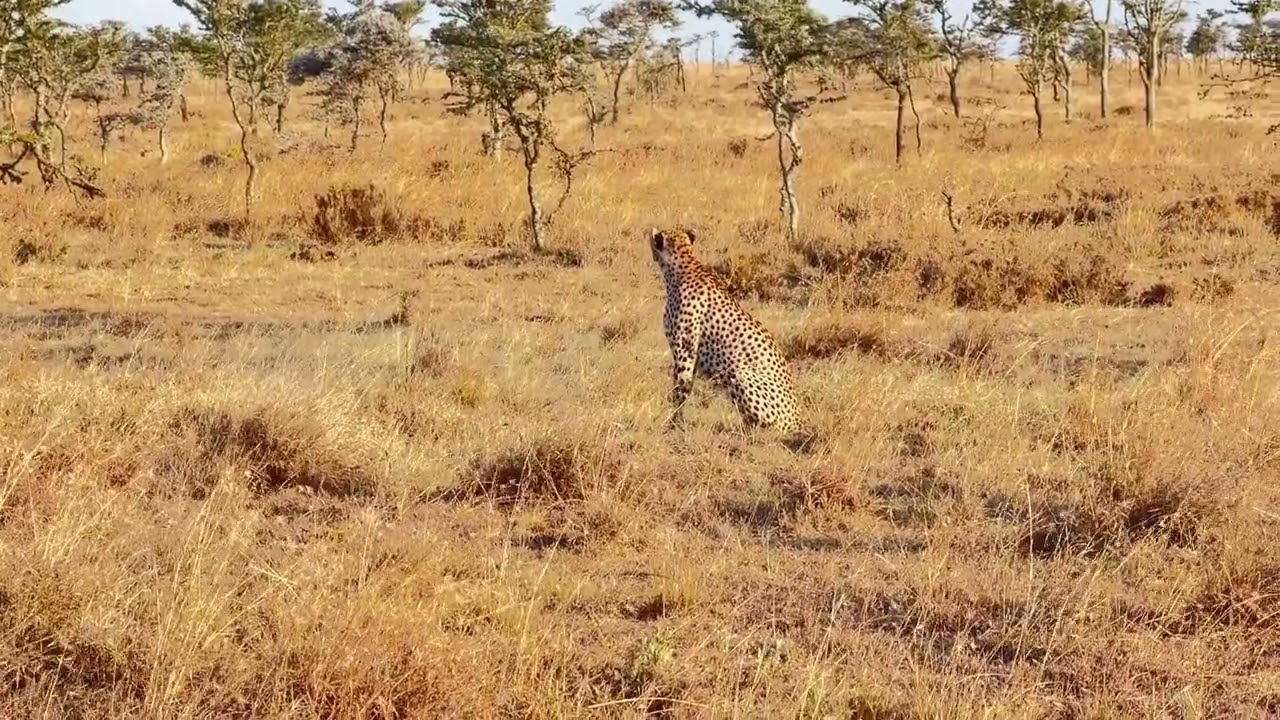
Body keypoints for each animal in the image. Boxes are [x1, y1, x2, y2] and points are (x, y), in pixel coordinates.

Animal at [648, 226, 800, 433]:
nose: (652, 252)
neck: (683, 264)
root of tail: (799, 421)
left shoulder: (685, 353)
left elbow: (680, 391)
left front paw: (673, 424)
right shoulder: (692, 357)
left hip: (739, 373)